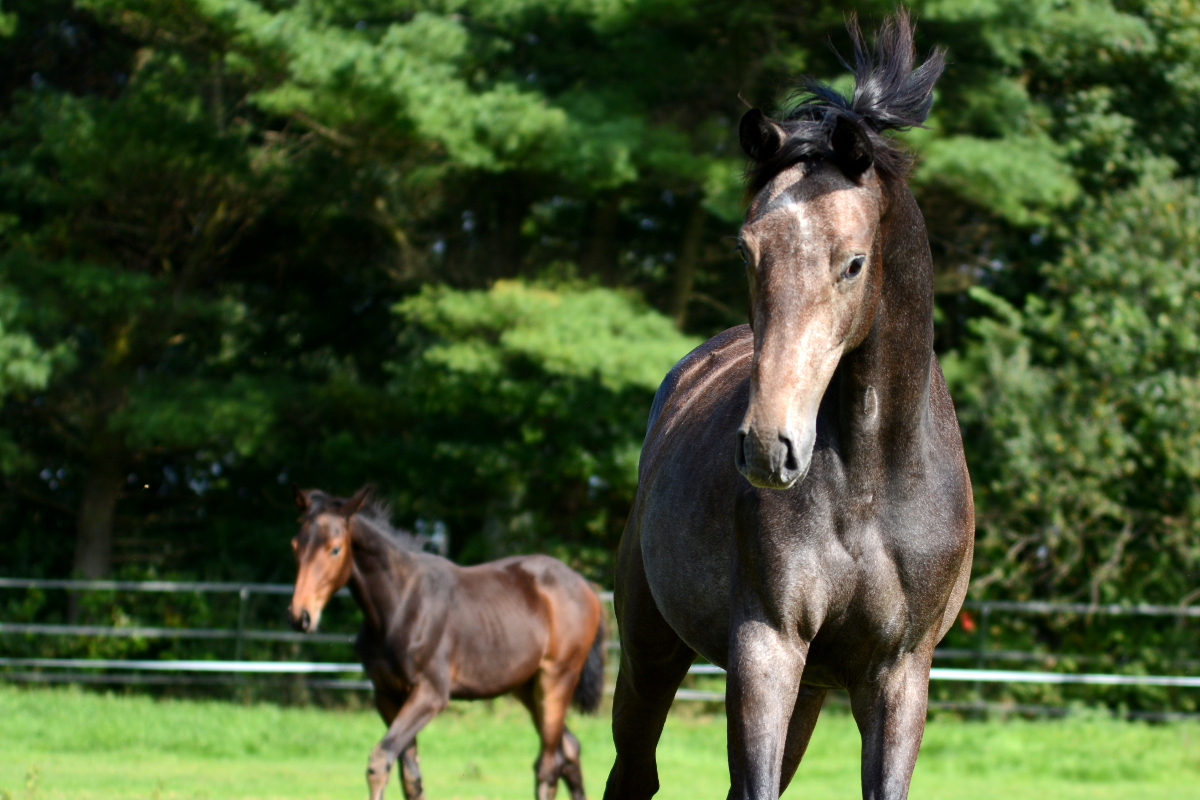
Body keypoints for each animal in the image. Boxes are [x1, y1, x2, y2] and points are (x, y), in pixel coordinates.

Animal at [288, 486, 607, 800]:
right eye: (295, 545)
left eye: (335, 549)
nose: (300, 616)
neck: (400, 605)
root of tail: (585, 586)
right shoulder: (388, 695)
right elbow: (411, 778)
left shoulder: (431, 694)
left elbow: (380, 760)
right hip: (527, 687)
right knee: (570, 749)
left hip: (557, 679)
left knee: (548, 765)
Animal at [603, 13, 973, 800]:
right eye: (748, 250)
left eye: (854, 262)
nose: (770, 448)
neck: (869, 482)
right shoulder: (766, 648)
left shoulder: (898, 675)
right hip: (651, 651)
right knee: (634, 771)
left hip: (811, 688)